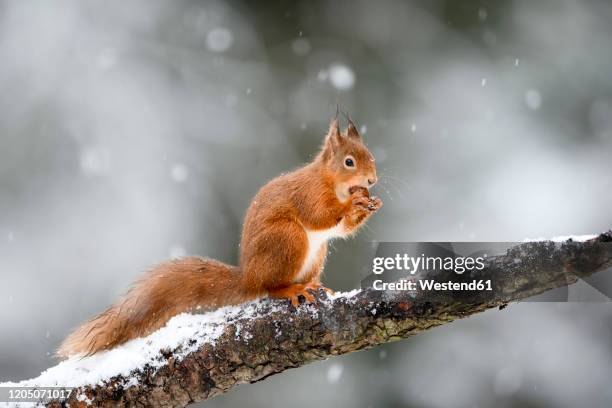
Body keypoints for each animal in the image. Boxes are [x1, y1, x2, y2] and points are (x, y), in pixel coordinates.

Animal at [58, 117, 382, 356]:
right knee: (270, 287)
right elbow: (320, 216)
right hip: (288, 240)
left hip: (316, 253)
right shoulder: (309, 195)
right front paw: (353, 204)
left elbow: (342, 229)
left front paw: (370, 204)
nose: (372, 180)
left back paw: (312, 284)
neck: (333, 183)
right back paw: (291, 289)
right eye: (349, 162)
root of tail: (249, 276)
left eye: (372, 158)